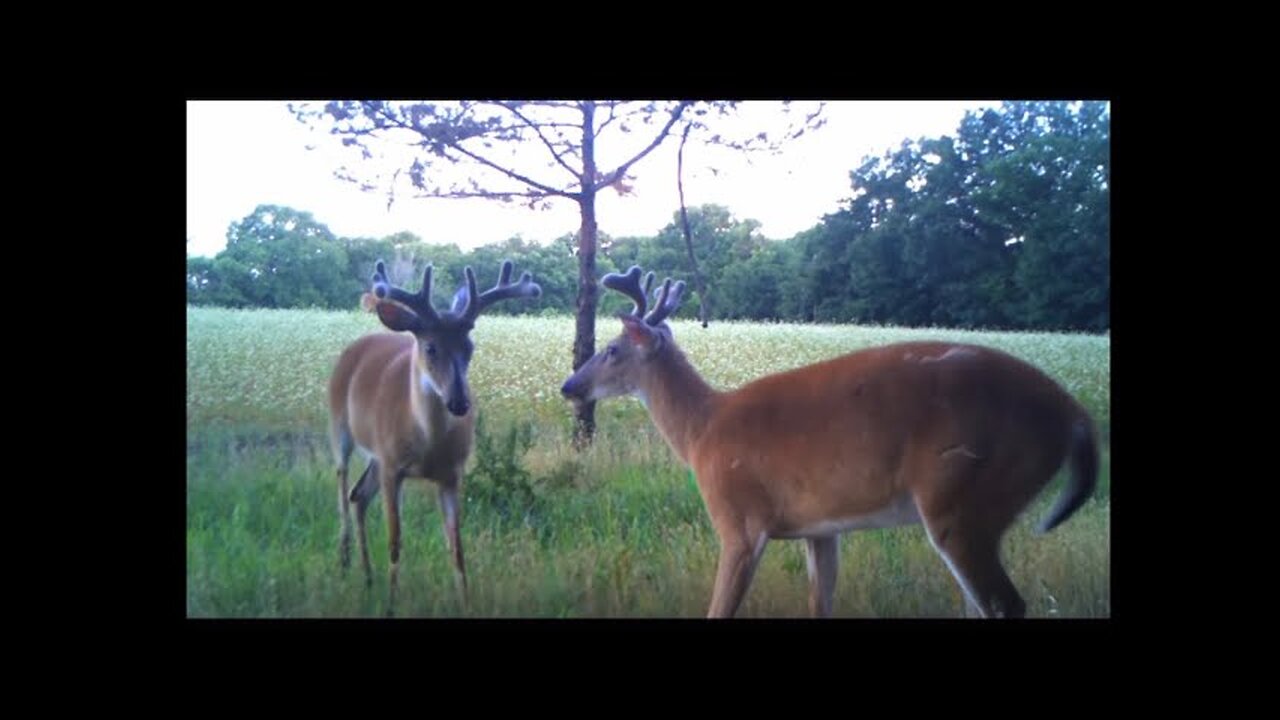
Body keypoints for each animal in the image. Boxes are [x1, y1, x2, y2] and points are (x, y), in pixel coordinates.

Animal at [330, 254, 540, 607]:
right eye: (430, 348)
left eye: (470, 346)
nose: (460, 402)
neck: (426, 444)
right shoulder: (393, 468)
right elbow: (395, 541)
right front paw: (391, 604)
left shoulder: (451, 474)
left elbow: (457, 548)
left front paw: (466, 603)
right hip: (339, 426)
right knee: (343, 487)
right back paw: (345, 563)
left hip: (376, 456)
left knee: (359, 495)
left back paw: (368, 577)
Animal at [560, 265, 1100, 617]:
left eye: (612, 349)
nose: (569, 386)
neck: (701, 432)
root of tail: (1074, 412)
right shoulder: (818, 527)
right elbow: (820, 604)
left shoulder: (738, 519)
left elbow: (719, 610)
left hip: (965, 491)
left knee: (1005, 604)